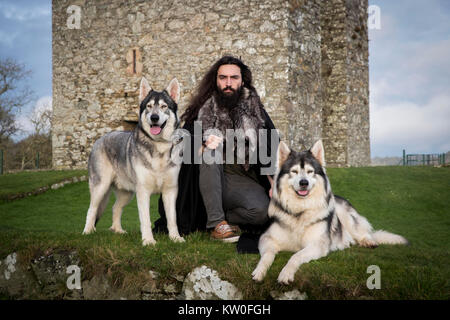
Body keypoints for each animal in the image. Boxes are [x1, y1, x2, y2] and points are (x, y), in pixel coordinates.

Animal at [82, 77, 185, 245]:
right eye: (149, 106)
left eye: (164, 106)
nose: (154, 118)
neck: (159, 146)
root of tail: (100, 139)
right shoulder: (143, 191)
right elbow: (145, 220)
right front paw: (148, 241)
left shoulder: (170, 191)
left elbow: (172, 219)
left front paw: (175, 238)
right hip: (101, 187)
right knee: (92, 209)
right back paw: (87, 231)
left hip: (127, 193)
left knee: (115, 208)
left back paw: (118, 231)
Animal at [253, 140, 408, 282]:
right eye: (294, 171)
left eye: (310, 172)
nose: (304, 183)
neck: (300, 210)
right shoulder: (266, 238)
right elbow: (267, 256)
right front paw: (260, 271)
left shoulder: (318, 244)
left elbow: (295, 256)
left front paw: (286, 273)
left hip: (344, 214)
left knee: (363, 233)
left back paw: (367, 241)